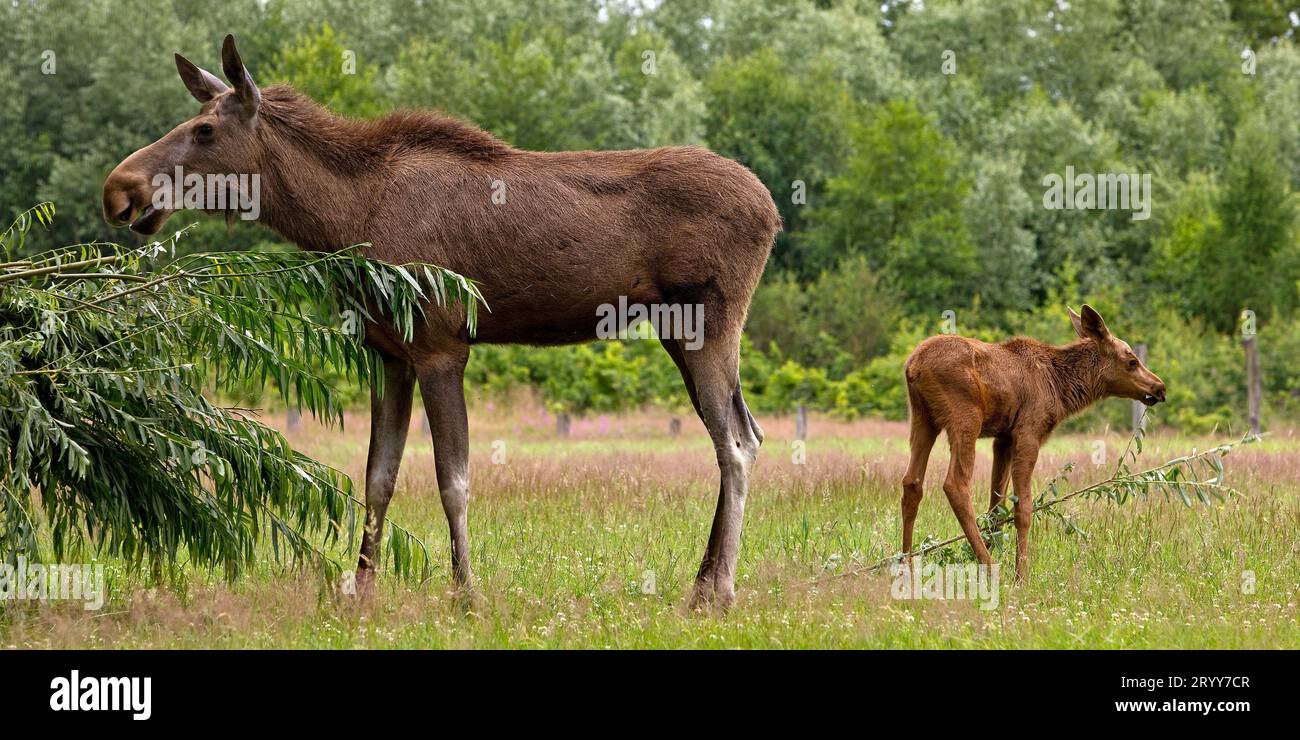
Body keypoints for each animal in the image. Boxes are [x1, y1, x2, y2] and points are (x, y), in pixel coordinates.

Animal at [106, 37, 774, 608]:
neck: (342, 222)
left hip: (710, 321)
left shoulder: (441, 346)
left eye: (204, 129)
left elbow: (453, 479)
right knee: (745, 434)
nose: (120, 188)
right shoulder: (388, 353)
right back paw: (700, 584)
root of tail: (773, 211)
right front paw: (361, 591)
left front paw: (466, 594)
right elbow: (378, 476)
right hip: (679, 330)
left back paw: (720, 592)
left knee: (737, 444)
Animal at [904, 303, 1170, 580]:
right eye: (1132, 361)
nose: (1160, 387)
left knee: (912, 483)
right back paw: (989, 566)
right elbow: (1023, 508)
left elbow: (996, 507)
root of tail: (913, 367)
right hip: (965, 418)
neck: (1061, 389)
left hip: (923, 418)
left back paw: (907, 564)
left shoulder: (1003, 438)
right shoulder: (1029, 431)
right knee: (955, 484)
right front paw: (1020, 576)